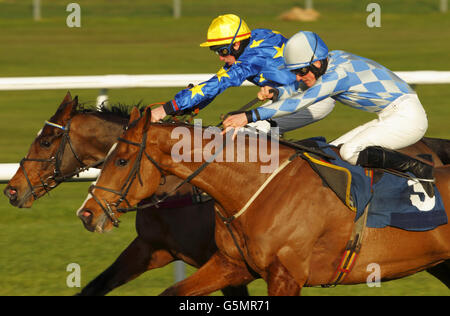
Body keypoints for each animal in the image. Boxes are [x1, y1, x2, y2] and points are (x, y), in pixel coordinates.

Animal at [77, 107, 450, 296]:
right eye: (107, 155)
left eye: (121, 160)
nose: (87, 213)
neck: (257, 187)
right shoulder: (231, 264)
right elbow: (172, 293)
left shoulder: (286, 276)